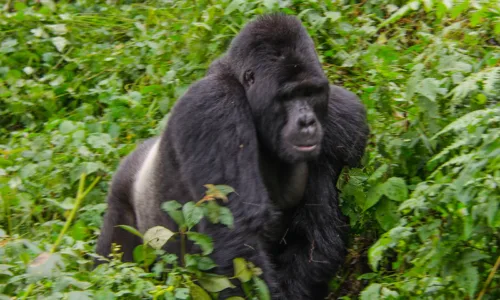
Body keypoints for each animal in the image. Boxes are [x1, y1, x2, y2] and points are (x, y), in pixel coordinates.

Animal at [95, 13, 370, 298]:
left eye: (311, 93)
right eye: (289, 96)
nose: (307, 122)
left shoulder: (344, 118)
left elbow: (317, 233)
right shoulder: (215, 106)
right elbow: (237, 238)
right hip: (122, 195)